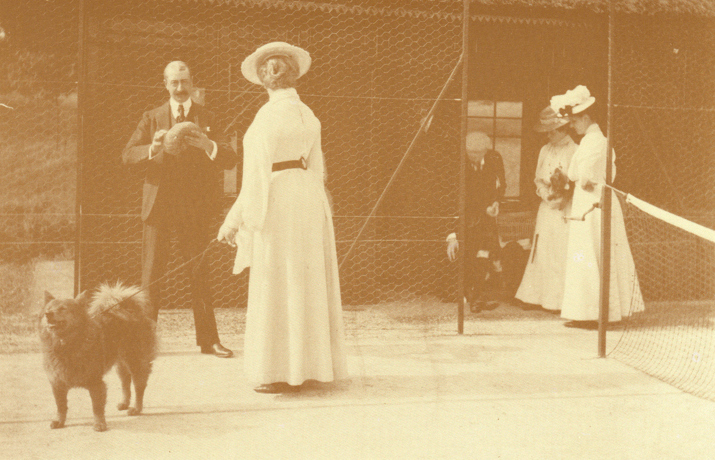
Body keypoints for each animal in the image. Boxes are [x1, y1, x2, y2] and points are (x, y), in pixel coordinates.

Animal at [38, 284, 156, 432]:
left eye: (62, 309)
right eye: (48, 309)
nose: (48, 314)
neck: (66, 345)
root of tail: (131, 310)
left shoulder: (96, 383)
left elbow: (97, 407)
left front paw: (100, 423)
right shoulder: (58, 383)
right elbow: (61, 406)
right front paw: (60, 421)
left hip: (135, 362)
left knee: (139, 388)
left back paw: (136, 408)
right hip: (121, 364)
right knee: (125, 383)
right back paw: (124, 403)